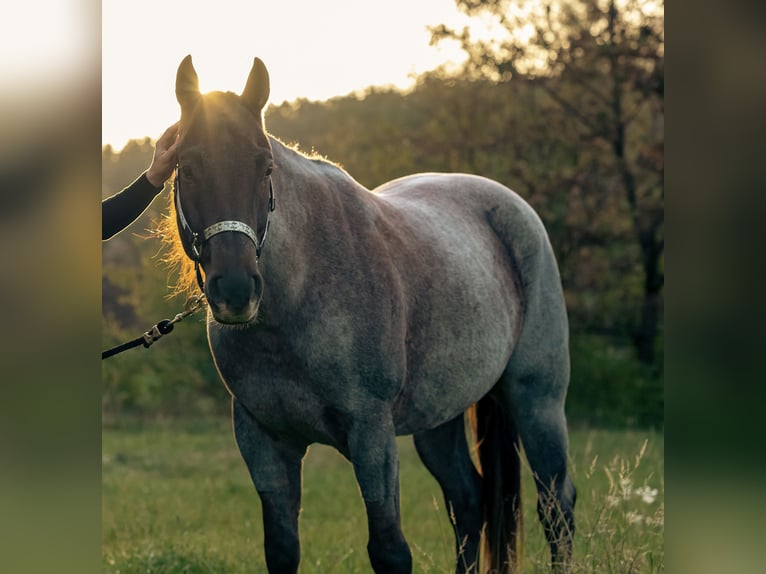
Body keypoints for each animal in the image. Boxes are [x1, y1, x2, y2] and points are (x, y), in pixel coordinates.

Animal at [164, 54, 576, 574]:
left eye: (265, 166)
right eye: (187, 166)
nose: (236, 290)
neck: (297, 300)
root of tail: (514, 209)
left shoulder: (371, 433)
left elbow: (389, 548)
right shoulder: (263, 440)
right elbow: (282, 548)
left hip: (537, 402)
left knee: (556, 507)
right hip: (439, 420)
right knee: (470, 500)